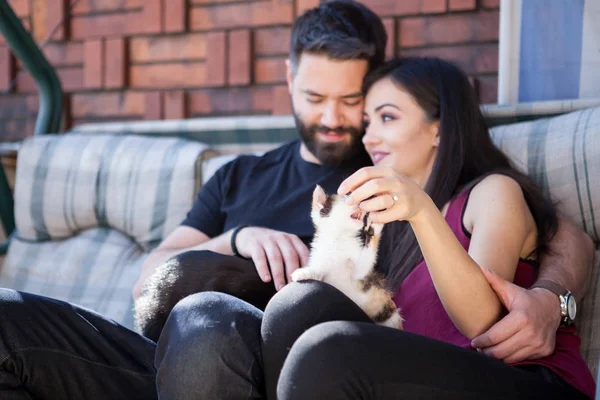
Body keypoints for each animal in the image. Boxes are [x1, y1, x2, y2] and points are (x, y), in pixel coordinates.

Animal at [290, 184, 404, 328]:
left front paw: (376, 227)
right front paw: (304, 272)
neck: (339, 239)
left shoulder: (359, 275)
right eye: (347, 199)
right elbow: (318, 271)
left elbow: (364, 262)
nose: (360, 202)